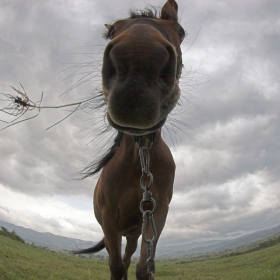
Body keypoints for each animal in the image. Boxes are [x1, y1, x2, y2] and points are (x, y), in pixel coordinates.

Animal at [75, 1, 186, 278]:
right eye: (112, 30)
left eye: (180, 32)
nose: (139, 60)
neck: (140, 161)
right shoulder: (110, 221)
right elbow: (115, 267)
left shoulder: (156, 215)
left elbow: (142, 267)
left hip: (134, 233)